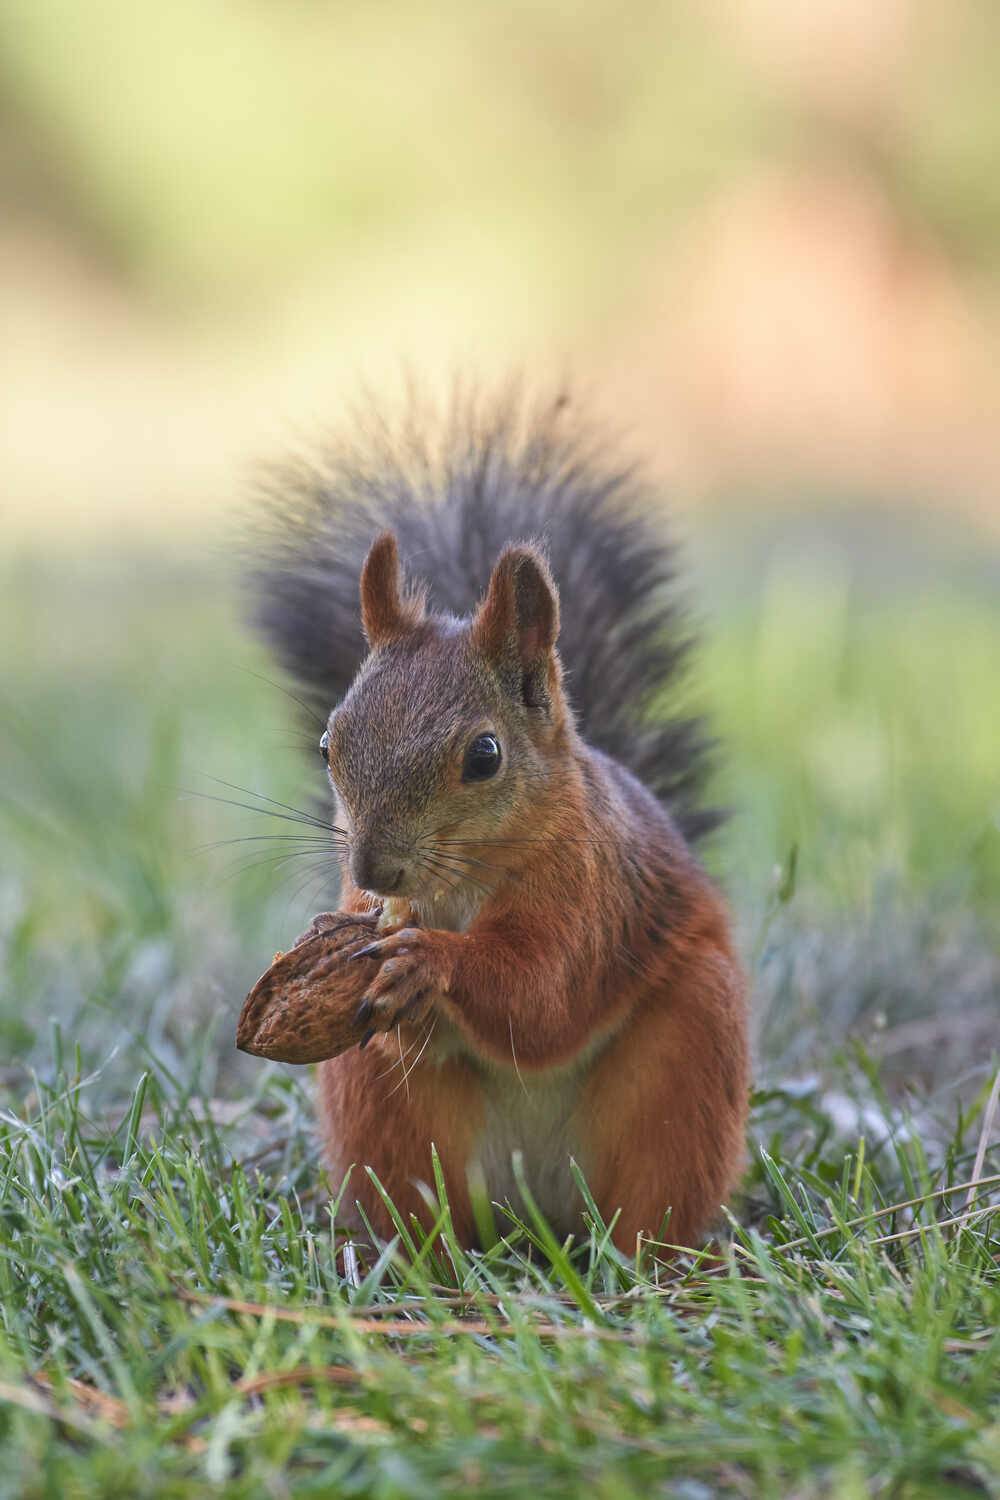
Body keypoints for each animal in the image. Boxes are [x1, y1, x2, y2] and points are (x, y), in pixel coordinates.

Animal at [250, 392, 749, 1253]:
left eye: (484, 756)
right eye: (327, 744)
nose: (374, 870)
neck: (459, 887)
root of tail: (538, 1212)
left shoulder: (588, 893)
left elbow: (542, 995)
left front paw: (431, 963)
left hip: (691, 1050)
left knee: (656, 1197)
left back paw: (661, 1265)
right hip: (377, 1110)